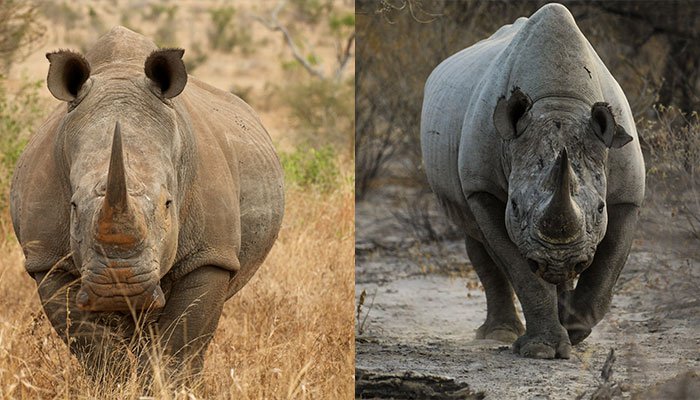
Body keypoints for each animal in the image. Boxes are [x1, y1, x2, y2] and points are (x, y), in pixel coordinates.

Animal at [10, 27, 284, 376]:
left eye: (168, 204)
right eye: (72, 206)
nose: (119, 287)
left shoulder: (209, 255)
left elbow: (180, 345)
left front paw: (166, 383)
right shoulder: (47, 260)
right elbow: (91, 346)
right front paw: (116, 383)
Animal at [421, 3, 645, 359]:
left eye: (600, 208)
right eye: (514, 205)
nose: (557, 261)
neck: (560, 100)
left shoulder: (627, 194)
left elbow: (607, 268)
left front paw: (573, 329)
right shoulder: (482, 188)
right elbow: (520, 269)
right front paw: (543, 348)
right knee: (477, 241)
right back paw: (498, 333)